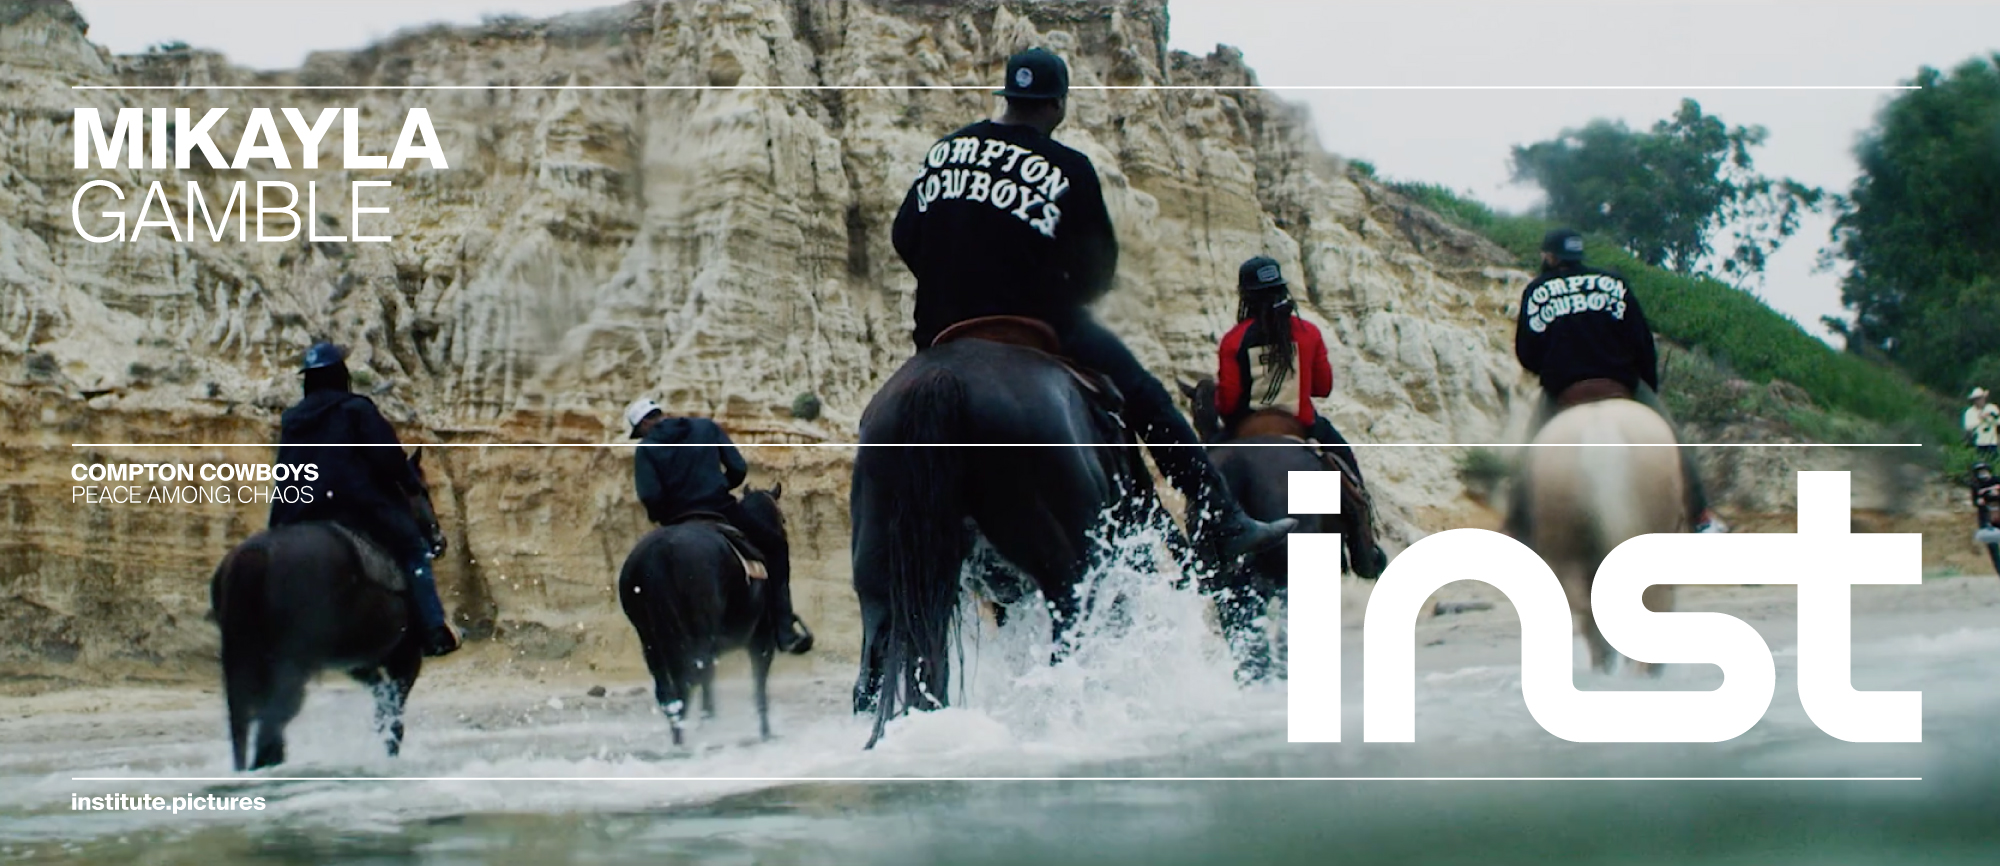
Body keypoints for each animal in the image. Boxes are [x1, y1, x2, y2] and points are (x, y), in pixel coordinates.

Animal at [208, 448, 445, 771]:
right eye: (423, 490)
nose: (440, 541)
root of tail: (253, 558)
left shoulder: (360, 663)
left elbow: (382, 701)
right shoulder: (406, 657)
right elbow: (394, 716)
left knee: (249, 733)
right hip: (290, 669)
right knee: (270, 731)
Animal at [617, 486, 804, 746]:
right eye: (783, 519)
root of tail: (658, 556)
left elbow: (709, 683)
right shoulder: (761, 640)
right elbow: (759, 685)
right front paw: (765, 732)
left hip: (652, 641)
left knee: (670, 690)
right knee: (686, 681)